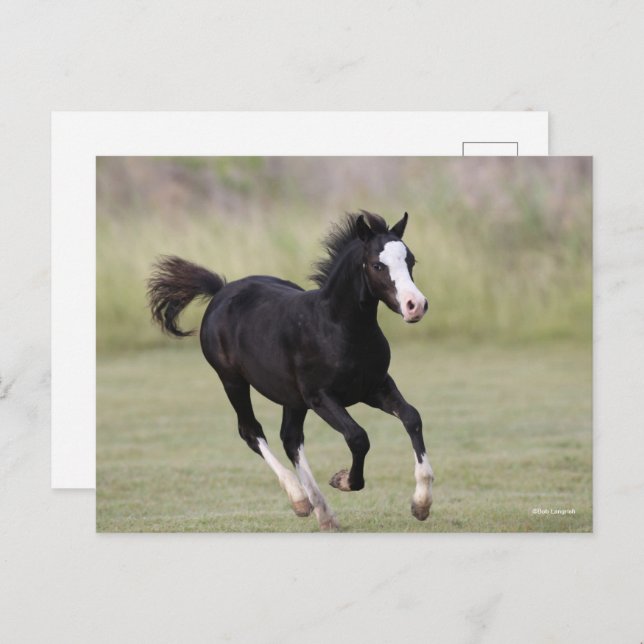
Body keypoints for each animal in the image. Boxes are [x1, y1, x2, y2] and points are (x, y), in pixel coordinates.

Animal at [147, 210, 434, 531]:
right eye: (377, 265)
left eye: (411, 261)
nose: (415, 305)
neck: (339, 328)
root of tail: (221, 290)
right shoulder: (321, 397)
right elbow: (358, 437)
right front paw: (343, 480)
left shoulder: (375, 386)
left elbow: (412, 417)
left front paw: (421, 505)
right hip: (233, 381)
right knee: (252, 431)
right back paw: (300, 500)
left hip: (292, 397)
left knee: (291, 438)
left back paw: (324, 513)